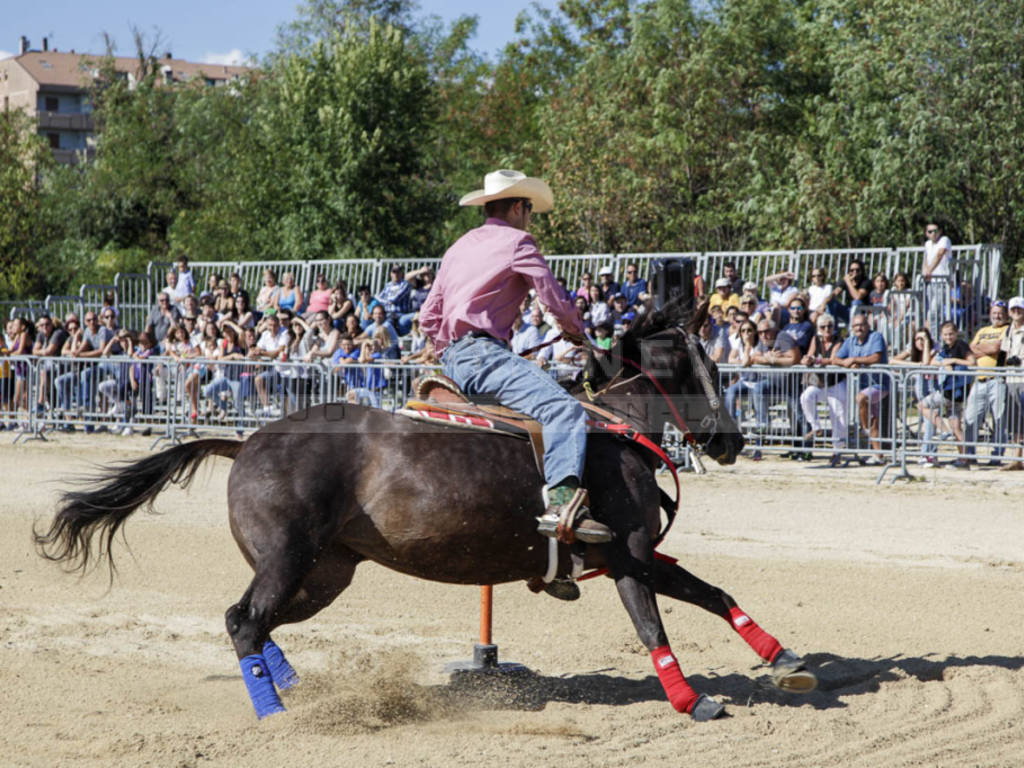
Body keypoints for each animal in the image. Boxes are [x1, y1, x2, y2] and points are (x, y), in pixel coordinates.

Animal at [34, 299, 815, 720]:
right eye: (706, 365)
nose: (732, 440)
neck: (609, 428)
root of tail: (246, 440)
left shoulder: (641, 555)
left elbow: (713, 593)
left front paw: (785, 660)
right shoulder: (627, 554)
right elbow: (656, 624)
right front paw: (694, 700)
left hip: (325, 573)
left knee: (259, 627)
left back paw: (296, 688)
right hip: (286, 563)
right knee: (242, 620)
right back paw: (277, 709)